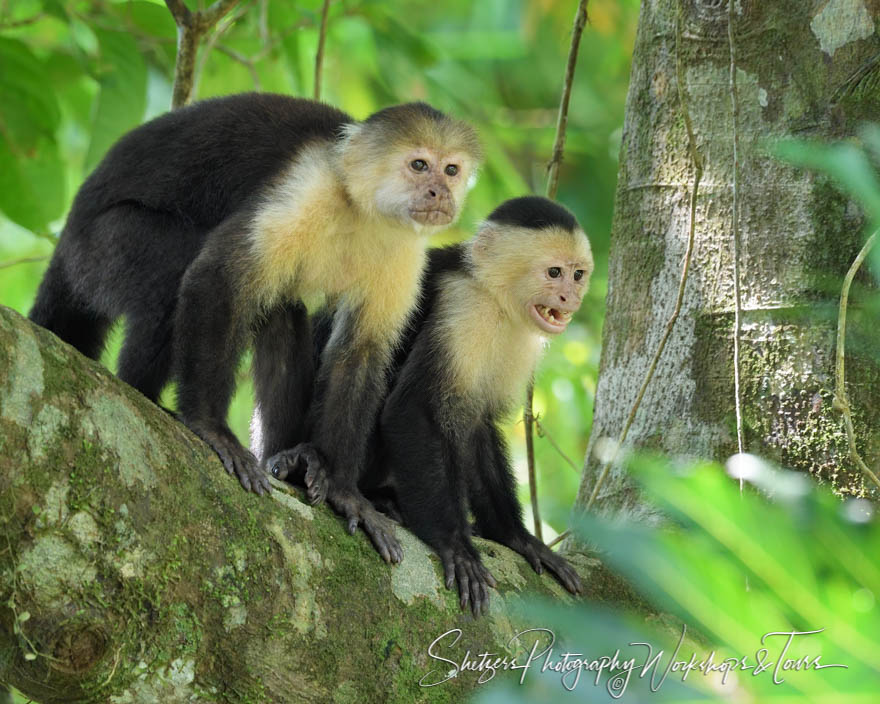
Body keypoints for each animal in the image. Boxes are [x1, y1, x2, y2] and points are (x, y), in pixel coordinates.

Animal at [29, 92, 482, 556]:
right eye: (419, 165)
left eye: (451, 170)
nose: (440, 192)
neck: (363, 210)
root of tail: (67, 236)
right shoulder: (308, 186)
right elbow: (218, 275)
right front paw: (210, 427)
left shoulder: (405, 249)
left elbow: (359, 354)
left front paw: (344, 490)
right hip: (100, 248)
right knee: (178, 269)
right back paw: (145, 396)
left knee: (281, 311)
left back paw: (290, 460)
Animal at [270, 194, 592, 612]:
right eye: (554, 273)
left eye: (578, 274)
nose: (571, 297)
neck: (494, 297)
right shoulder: (463, 308)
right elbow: (414, 409)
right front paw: (455, 545)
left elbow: (476, 425)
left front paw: (515, 536)